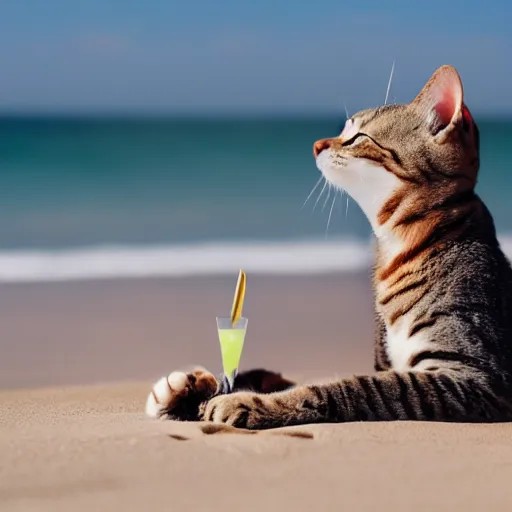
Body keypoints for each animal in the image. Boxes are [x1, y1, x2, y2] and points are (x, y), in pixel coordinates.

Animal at [144, 66, 512, 430]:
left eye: (359, 136)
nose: (317, 144)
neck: (403, 247)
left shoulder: (474, 378)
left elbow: (349, 387)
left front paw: (250, 402)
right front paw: (190, 393)